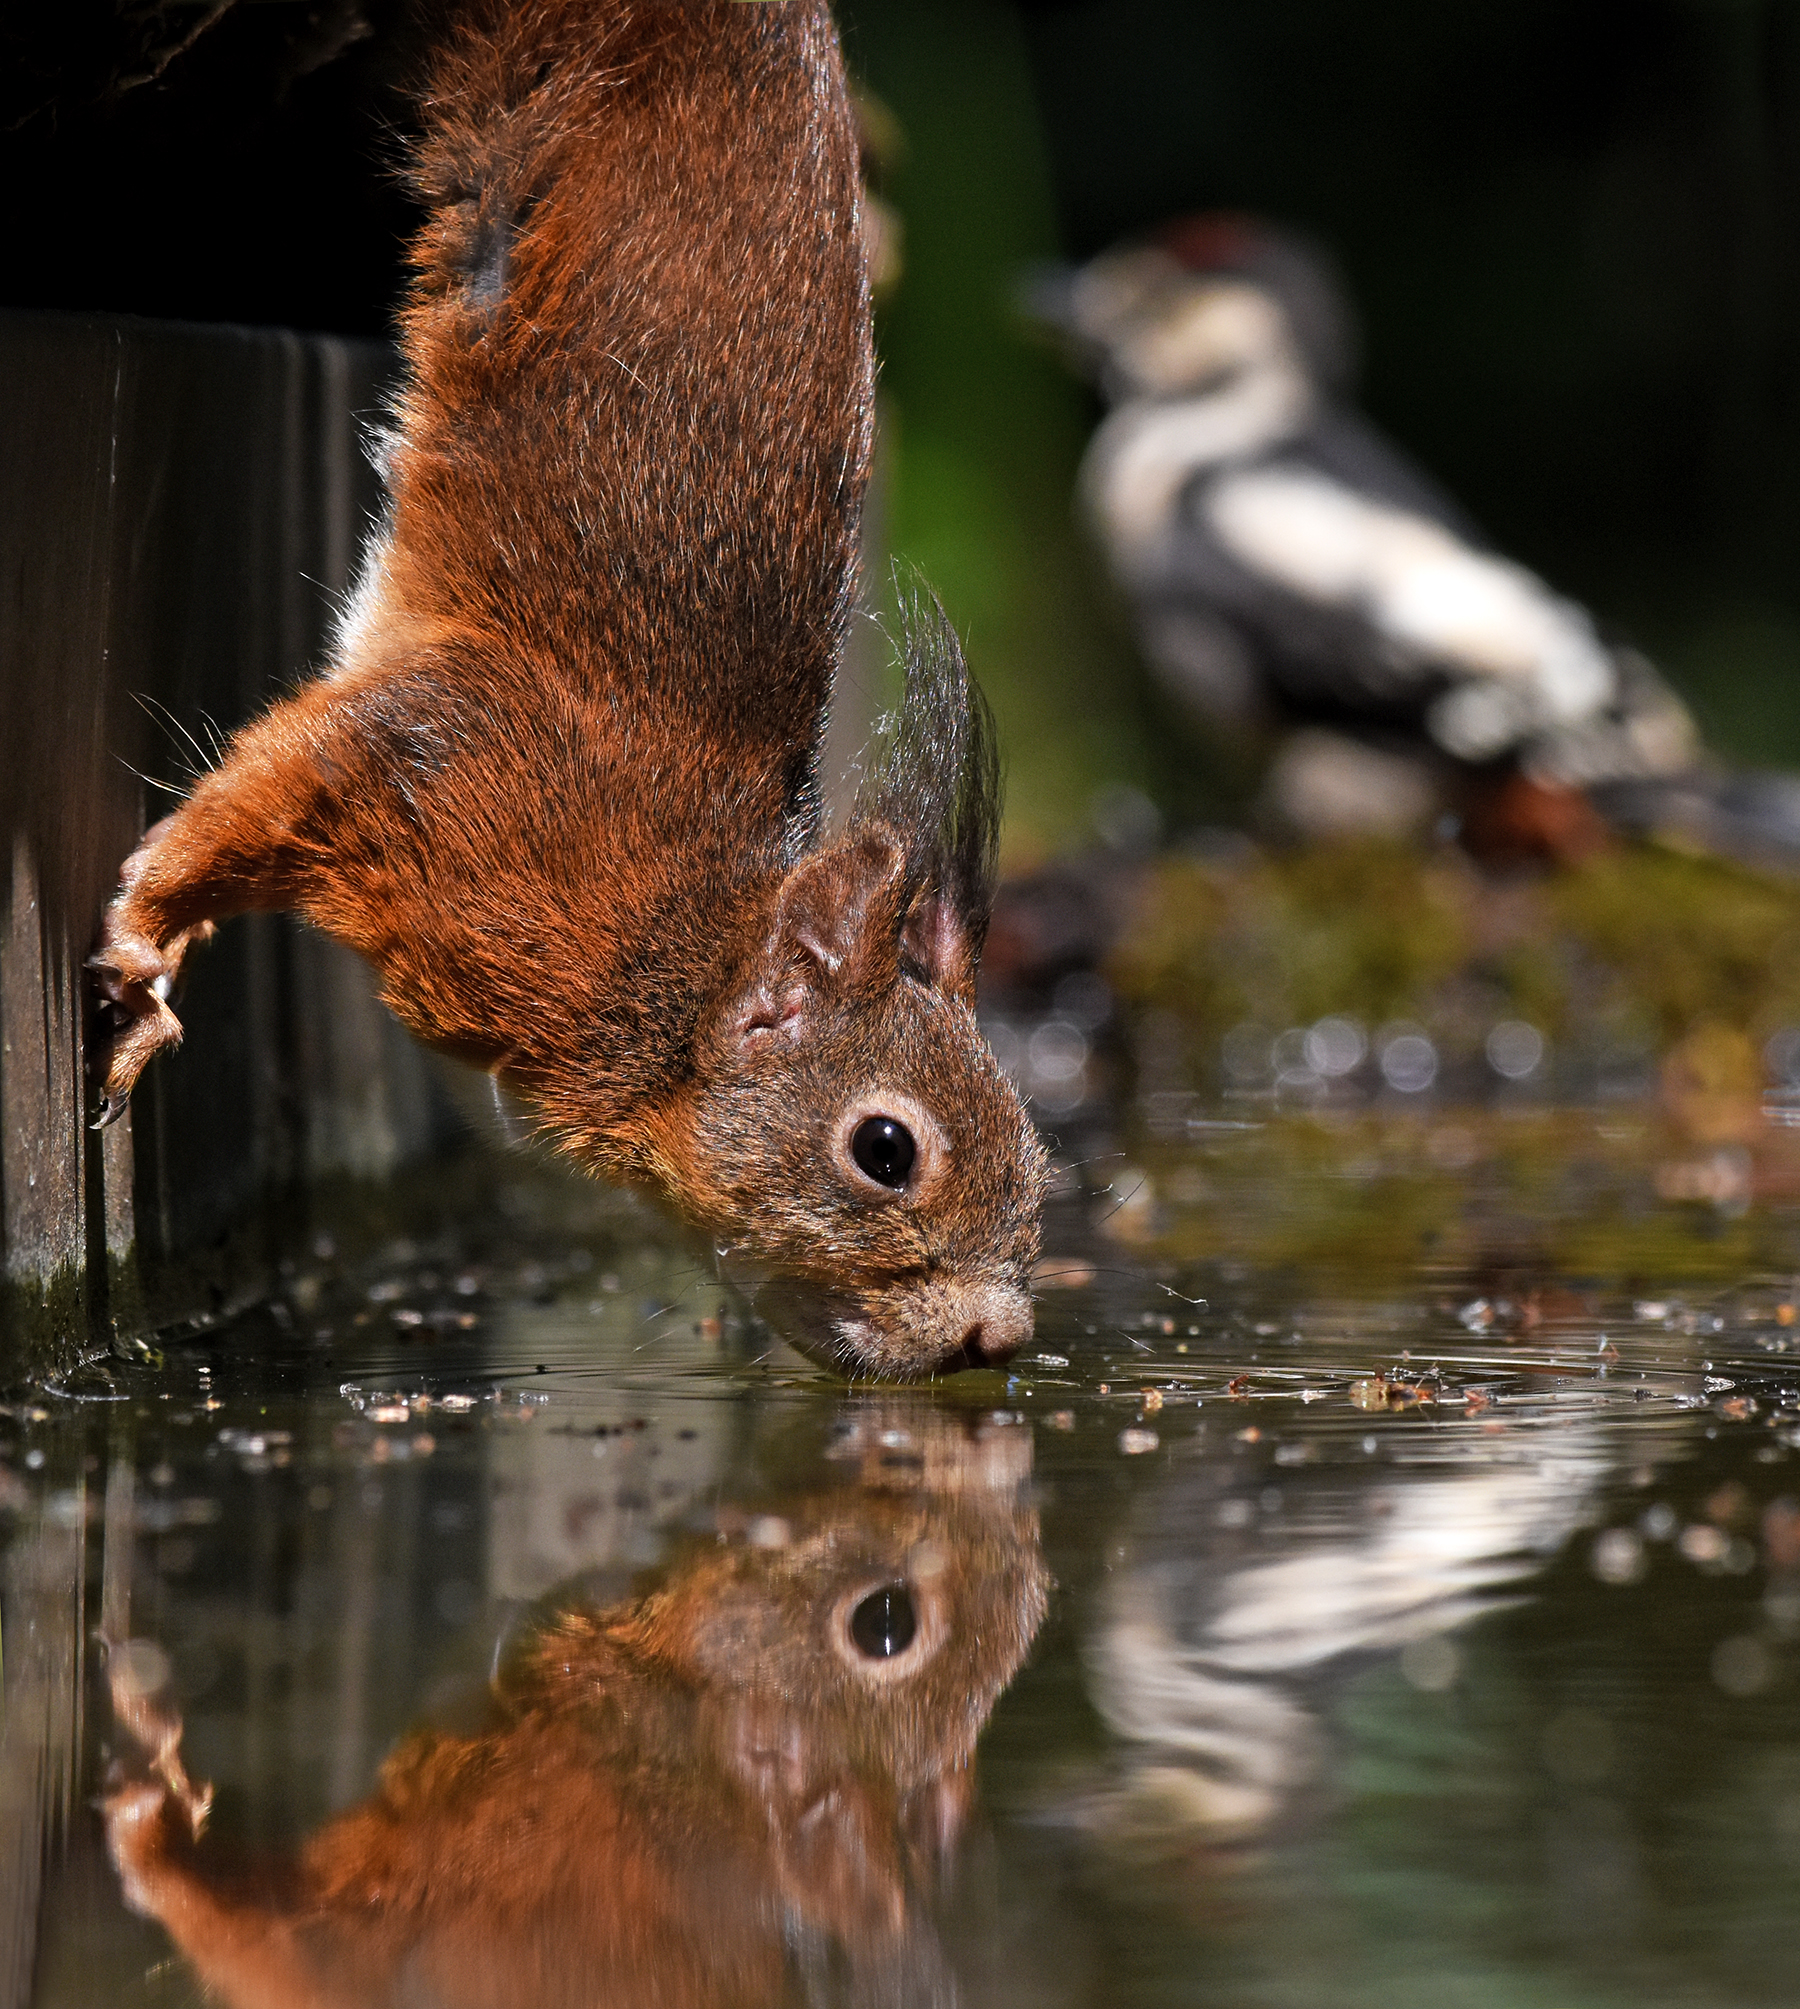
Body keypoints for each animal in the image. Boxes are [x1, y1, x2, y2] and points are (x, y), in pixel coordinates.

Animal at [88, 0, 1048, 1380]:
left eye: (1037, 1152)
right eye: (885, 1148)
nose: (996, 1337)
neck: (665, 952)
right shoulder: (436, 756)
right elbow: (261, 788)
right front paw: (146, 940)